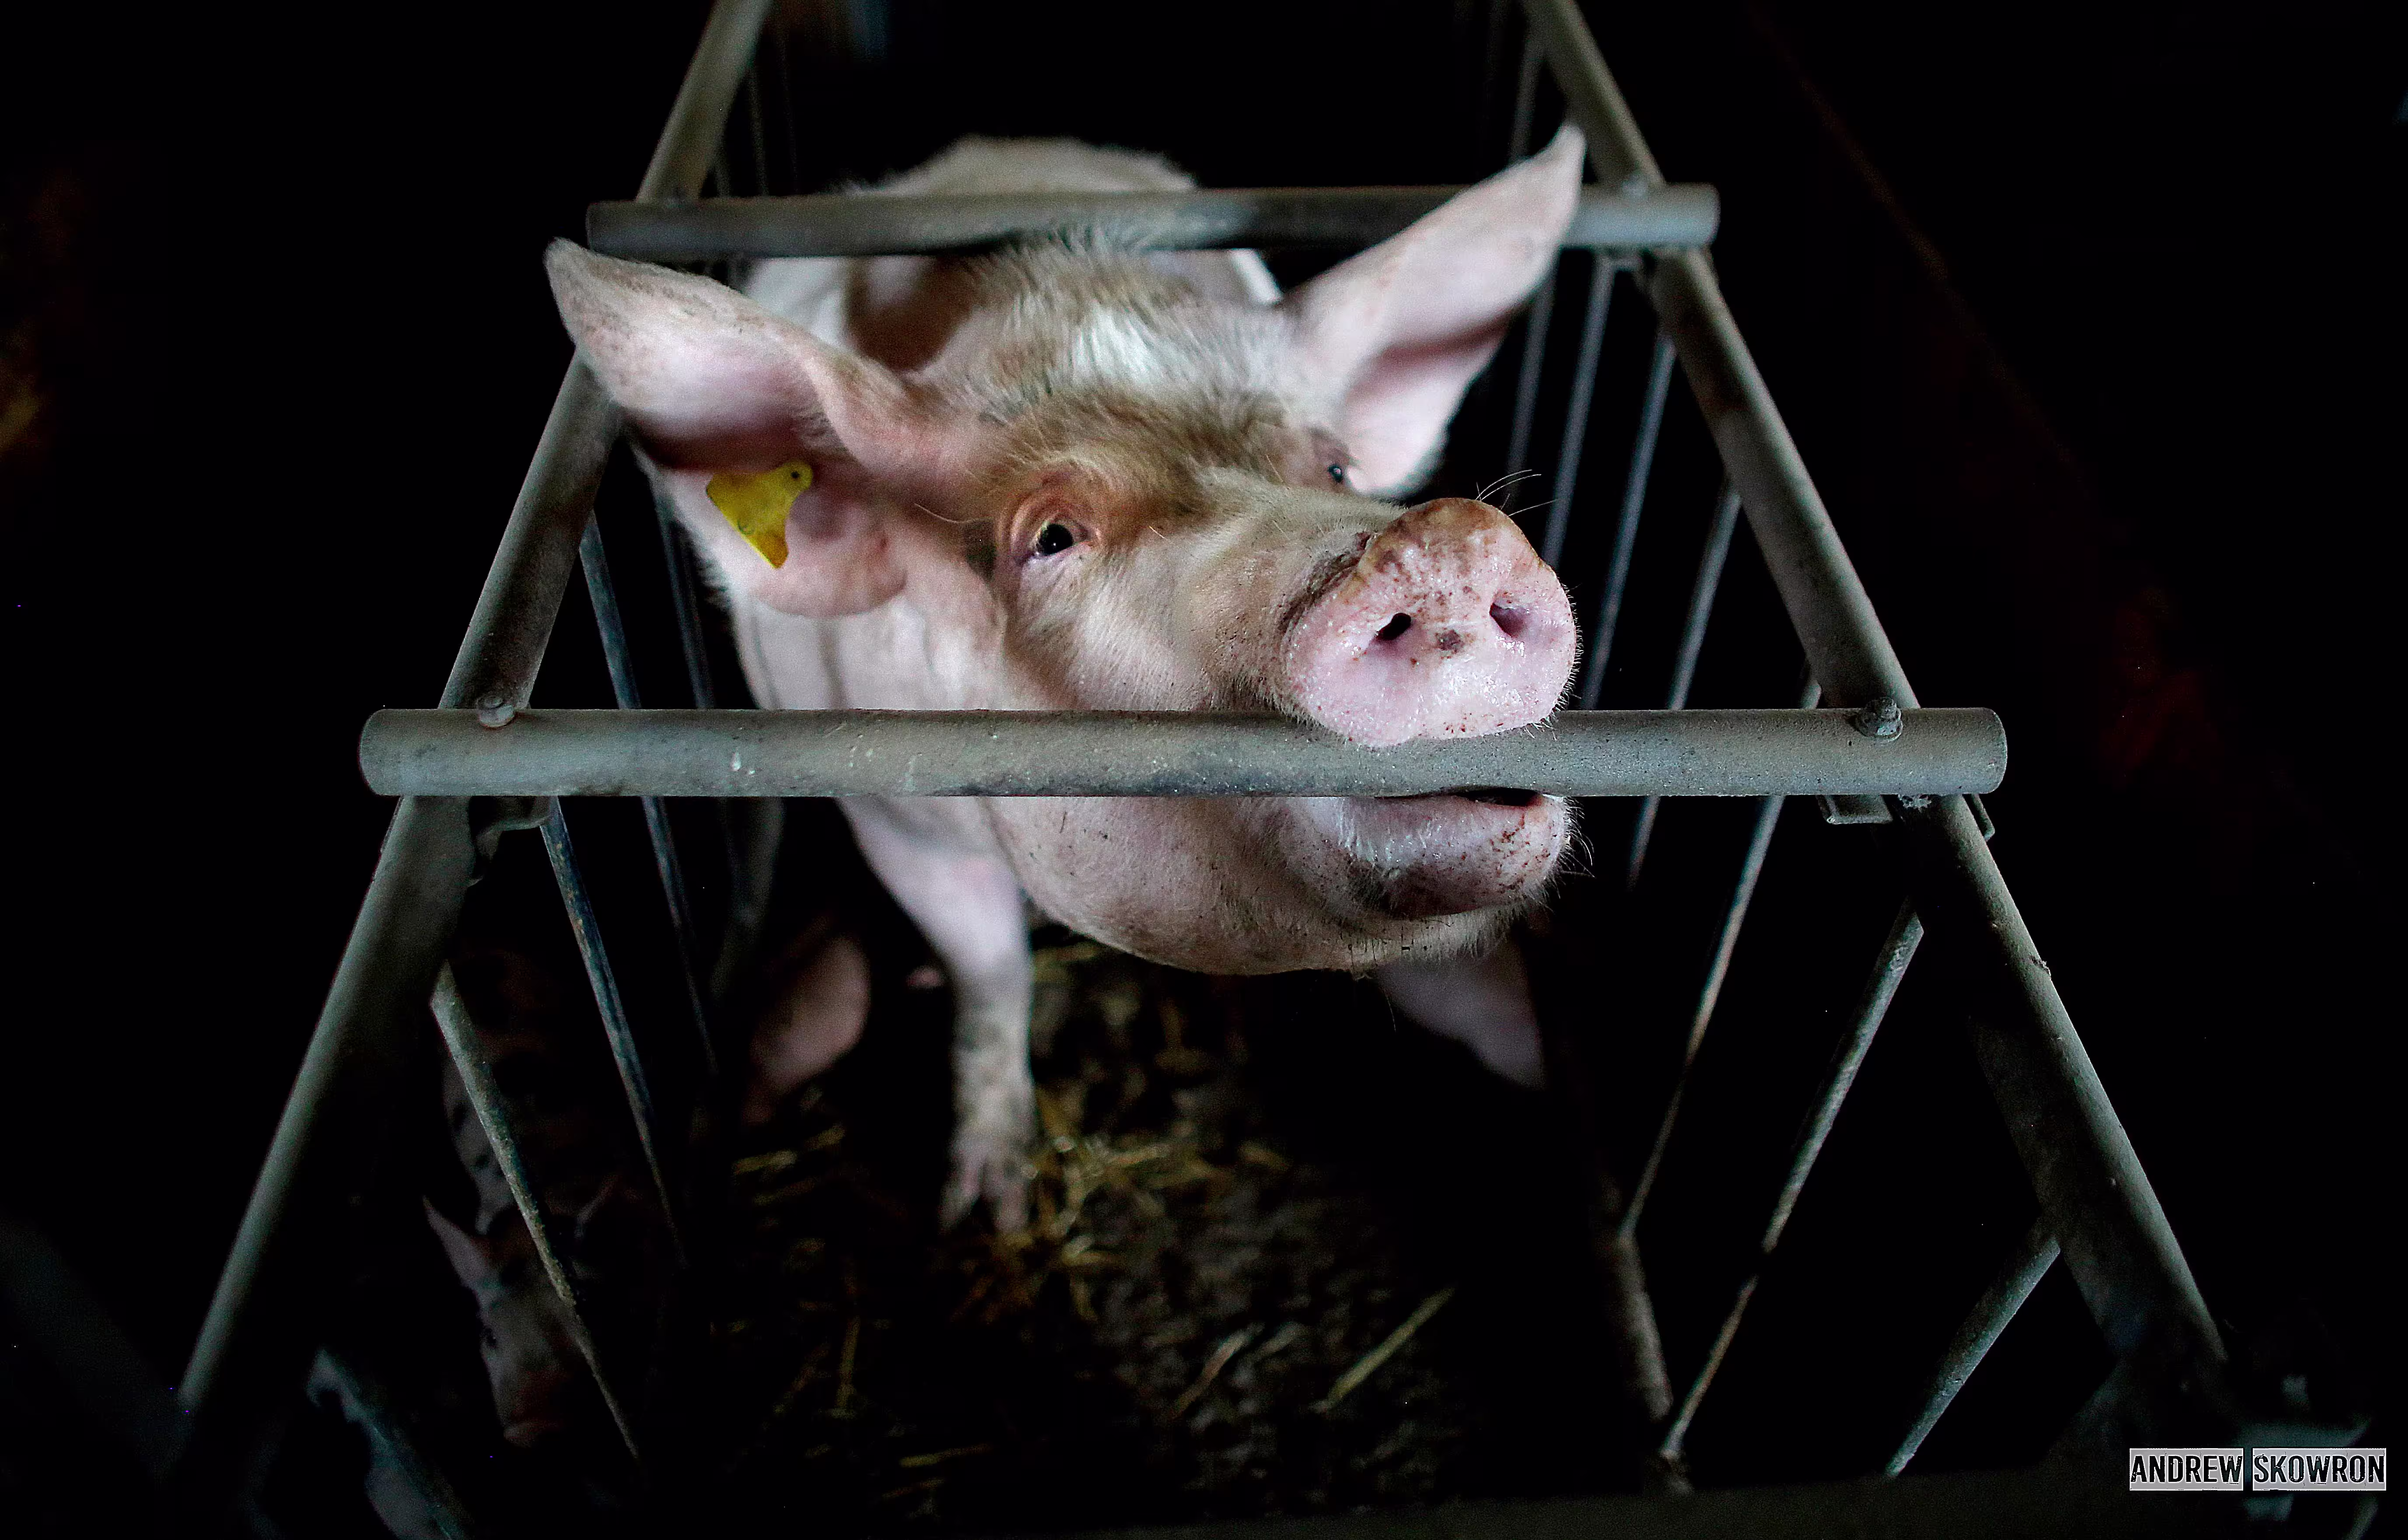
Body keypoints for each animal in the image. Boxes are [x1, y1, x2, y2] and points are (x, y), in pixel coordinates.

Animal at [545, 129, 1589, 1225]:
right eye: (1051, 537)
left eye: (1339, 470)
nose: (1452, 542)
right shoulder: (888, 806)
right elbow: (990, 969)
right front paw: (983, 1213)